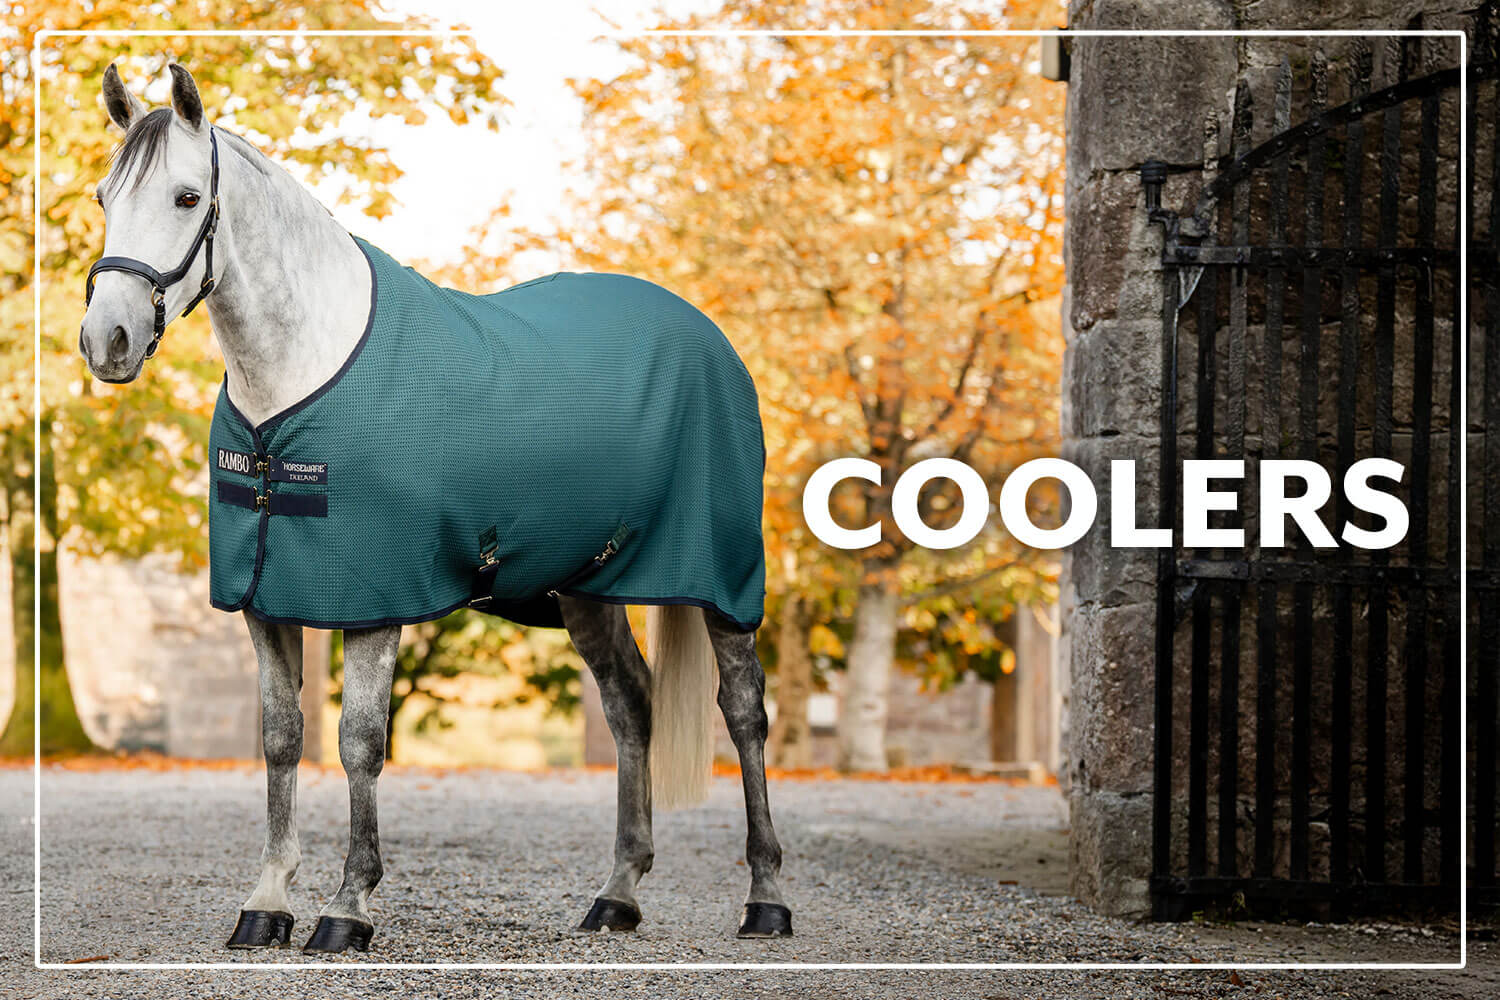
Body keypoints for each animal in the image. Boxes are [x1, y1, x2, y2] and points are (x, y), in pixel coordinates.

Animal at [78, 62, 792, 954]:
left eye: (184, 197)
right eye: (105, 196)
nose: (107, 340)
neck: (300, 378)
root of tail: (708, 335)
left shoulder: (374, 599)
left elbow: (359, 744)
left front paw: (348, 907)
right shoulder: (266, 598)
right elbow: (280, 740)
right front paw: (268, 902)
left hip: (724, 582)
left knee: (745, 712)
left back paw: (766, 897)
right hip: (588, 587)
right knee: (631, 705)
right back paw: (617, 895)